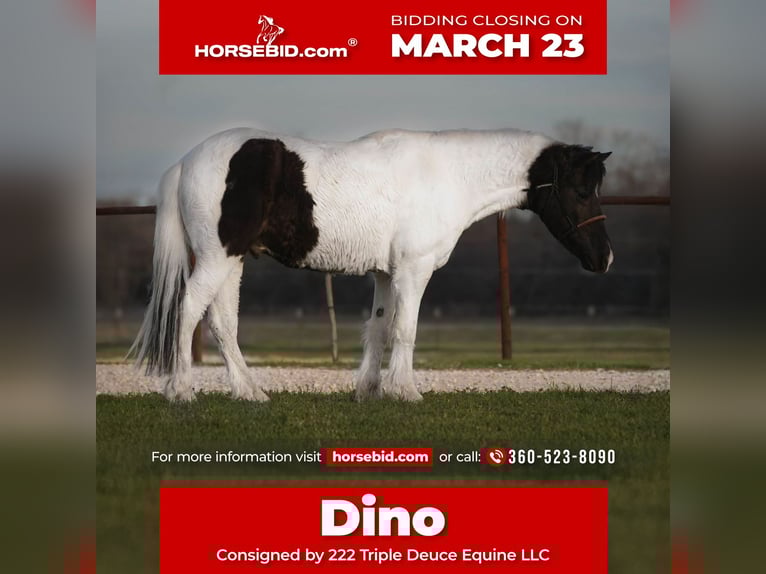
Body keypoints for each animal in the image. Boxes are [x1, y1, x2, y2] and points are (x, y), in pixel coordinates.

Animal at [129, 127, 613, 403]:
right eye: (582, 191)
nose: (605, 258)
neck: (446, 175)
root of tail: (186, 163)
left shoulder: (386, 273)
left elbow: (379, 327)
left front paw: (369, 391)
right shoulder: (414, 271)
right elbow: (405, 329)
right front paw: (406, 392)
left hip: (232, 262)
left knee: (222, 324)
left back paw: (250, 394)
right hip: (217, 258)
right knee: (188, 311)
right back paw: (181, 392)